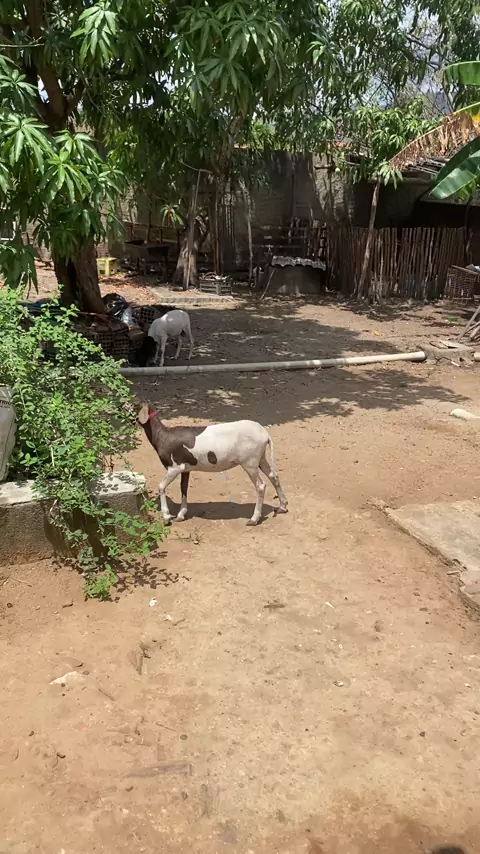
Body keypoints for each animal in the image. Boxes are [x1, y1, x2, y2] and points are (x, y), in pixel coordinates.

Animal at [137, 403, 288, 526]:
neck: (162, 436)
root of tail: (265, 435)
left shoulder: (174, 467)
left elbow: (161, 486)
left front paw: (167, 517)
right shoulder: (185, 469)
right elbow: (183, 488)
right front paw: (180, 515)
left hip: (249, 462)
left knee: (260, 486)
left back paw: (254, 519)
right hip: (260, 459)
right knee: (273, 476)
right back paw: (282, 507)